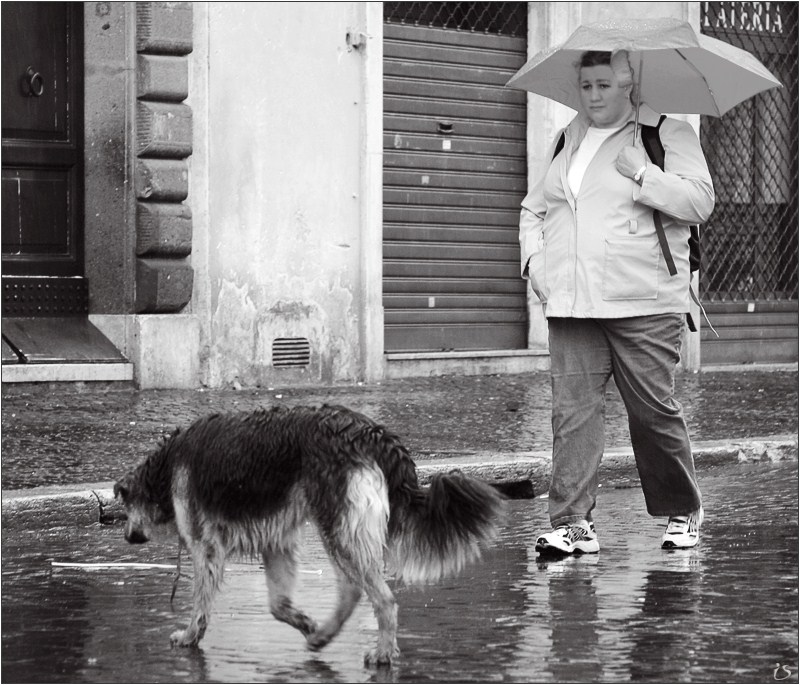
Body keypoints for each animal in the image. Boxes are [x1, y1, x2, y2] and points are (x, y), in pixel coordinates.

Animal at [115, 404, 504, 664]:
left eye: (125, 508)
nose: (128, 536)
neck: (166, 467)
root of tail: (371, 434)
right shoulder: (277, 542)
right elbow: (278, 606)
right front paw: (306, 623)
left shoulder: (205, 547)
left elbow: (200, 605)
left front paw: (189, 637)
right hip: (342, 530)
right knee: (353, 591)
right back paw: (324, 636)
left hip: (340, 530)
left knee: (383, 599)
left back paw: (381, 652)